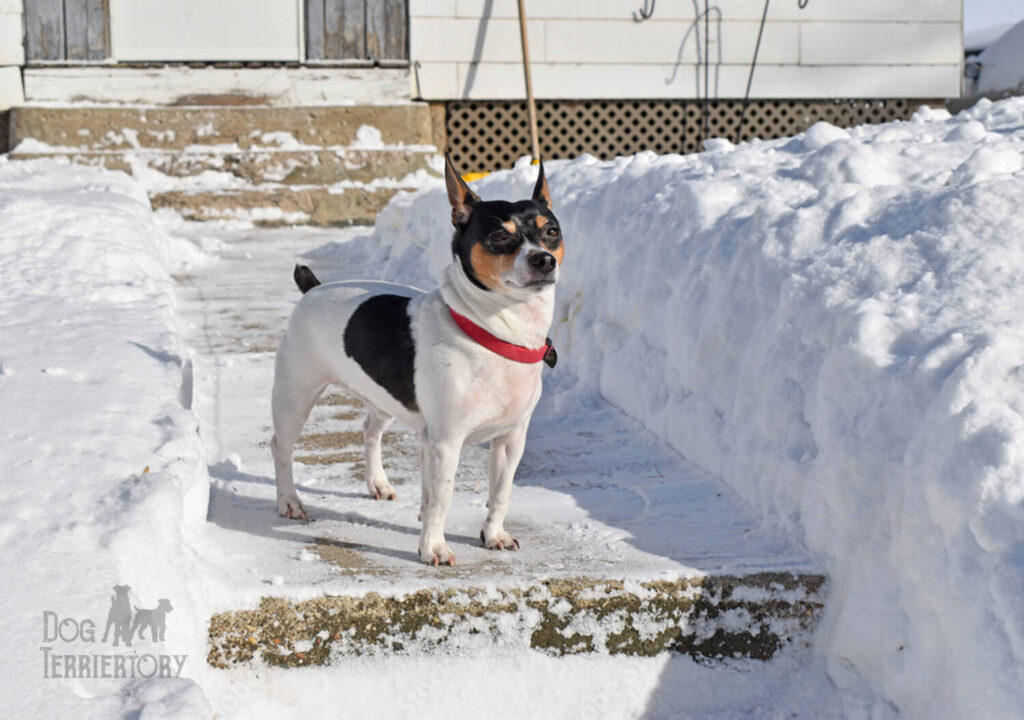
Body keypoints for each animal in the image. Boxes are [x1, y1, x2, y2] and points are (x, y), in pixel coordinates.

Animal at [272, 154, 561, 565]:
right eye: (498, 236)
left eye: (551, 231)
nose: (544, 260)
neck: (493, 333)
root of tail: (313, 288)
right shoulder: (445, 441)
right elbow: (441, 496)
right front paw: (433, 546)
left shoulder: (511, 439)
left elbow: (500, 493)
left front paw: (493, 534)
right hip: (295, 397)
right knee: (280, 446)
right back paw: (289, 501)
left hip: (384, 398)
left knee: (370, 429)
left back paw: (377, 482)